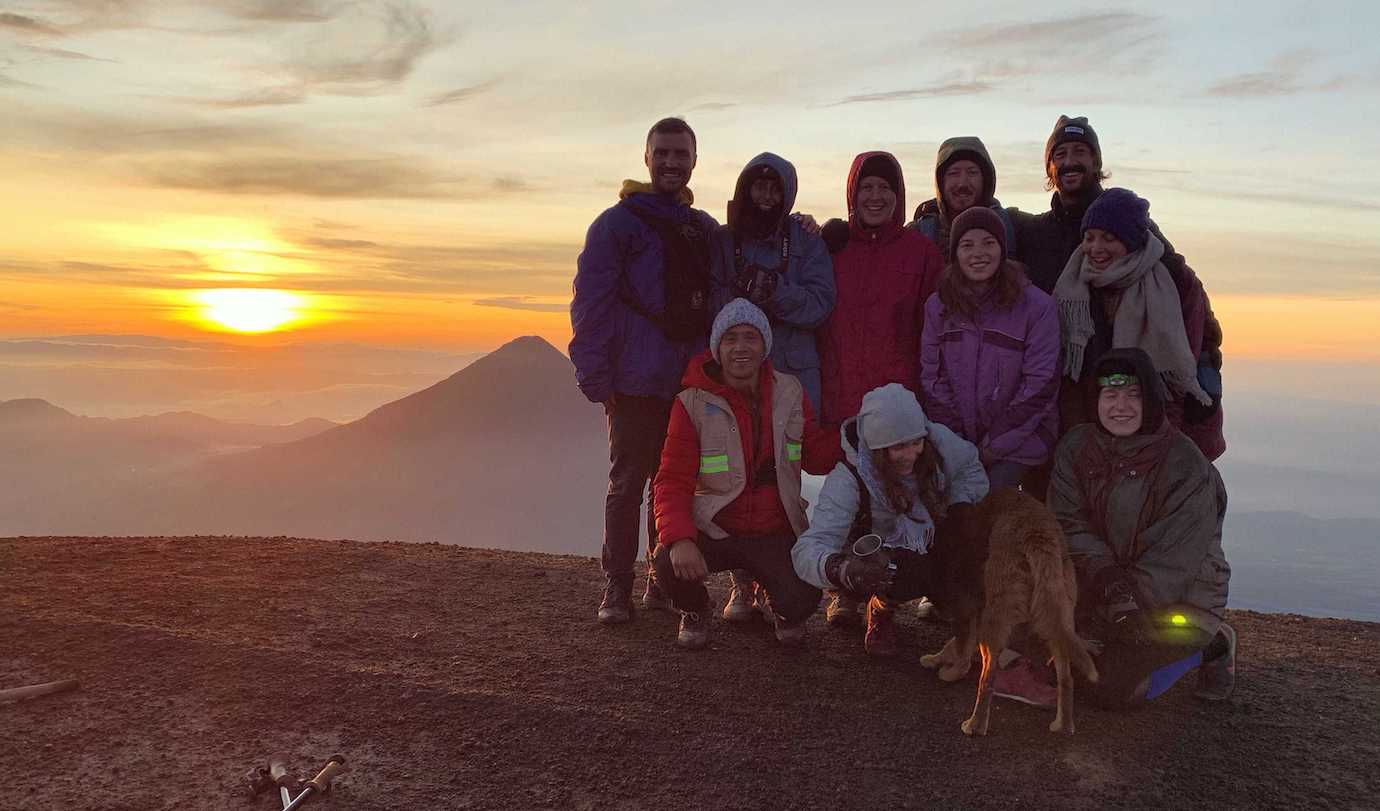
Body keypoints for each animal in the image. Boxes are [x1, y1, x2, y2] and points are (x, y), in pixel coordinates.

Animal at [916, 485, 1098, 739]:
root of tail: (1039, 534)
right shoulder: (975, 613)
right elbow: (955, 644)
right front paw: (937, 659)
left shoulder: (967, 610)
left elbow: (960, 650)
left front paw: (948, 671)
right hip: (1056, 619)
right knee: (1066, 677)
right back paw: (1063, 725)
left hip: (996, 619)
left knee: (987, 677)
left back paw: (975, 724)